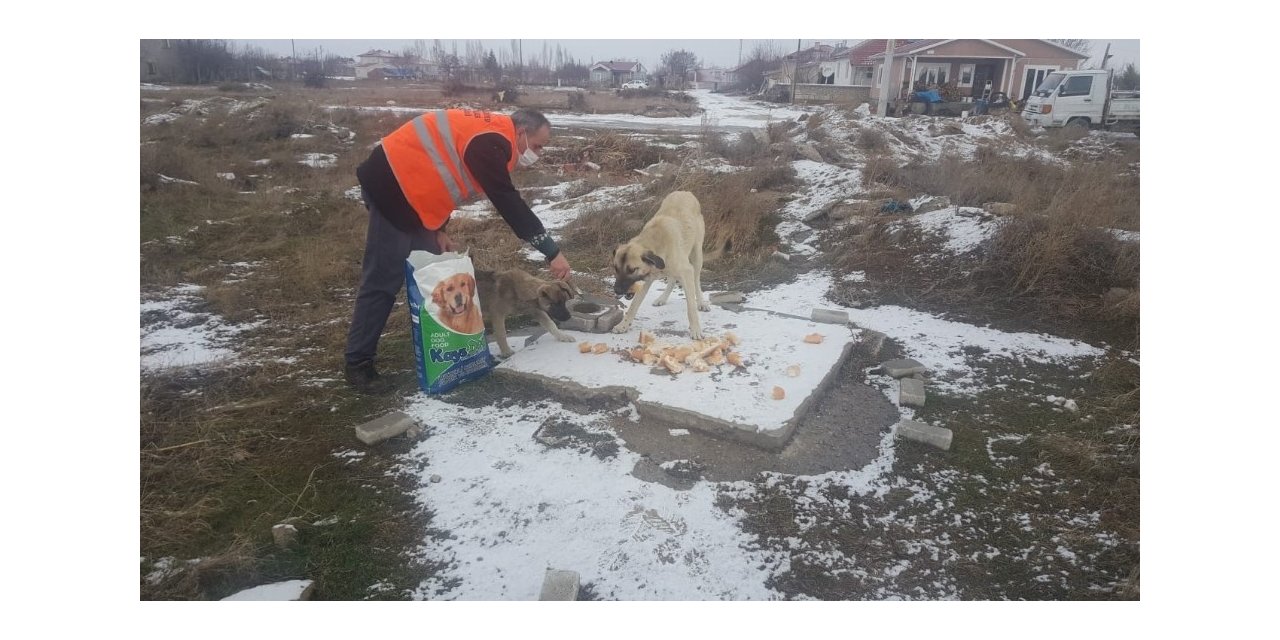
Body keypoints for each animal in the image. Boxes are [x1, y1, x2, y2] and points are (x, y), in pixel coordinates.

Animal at [609, 189, 711, 340]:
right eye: (616, 268)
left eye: (632, 270)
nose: (617, 290)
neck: (655, 242)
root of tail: (685, 192)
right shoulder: (647, 279)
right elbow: (633, 306)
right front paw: (623, 325)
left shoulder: (686, 271)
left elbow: (691, 308)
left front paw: (695, 329)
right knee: (672, 279)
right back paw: (662, 298)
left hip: (697, 256)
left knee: (696, 281)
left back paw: (701, 303)